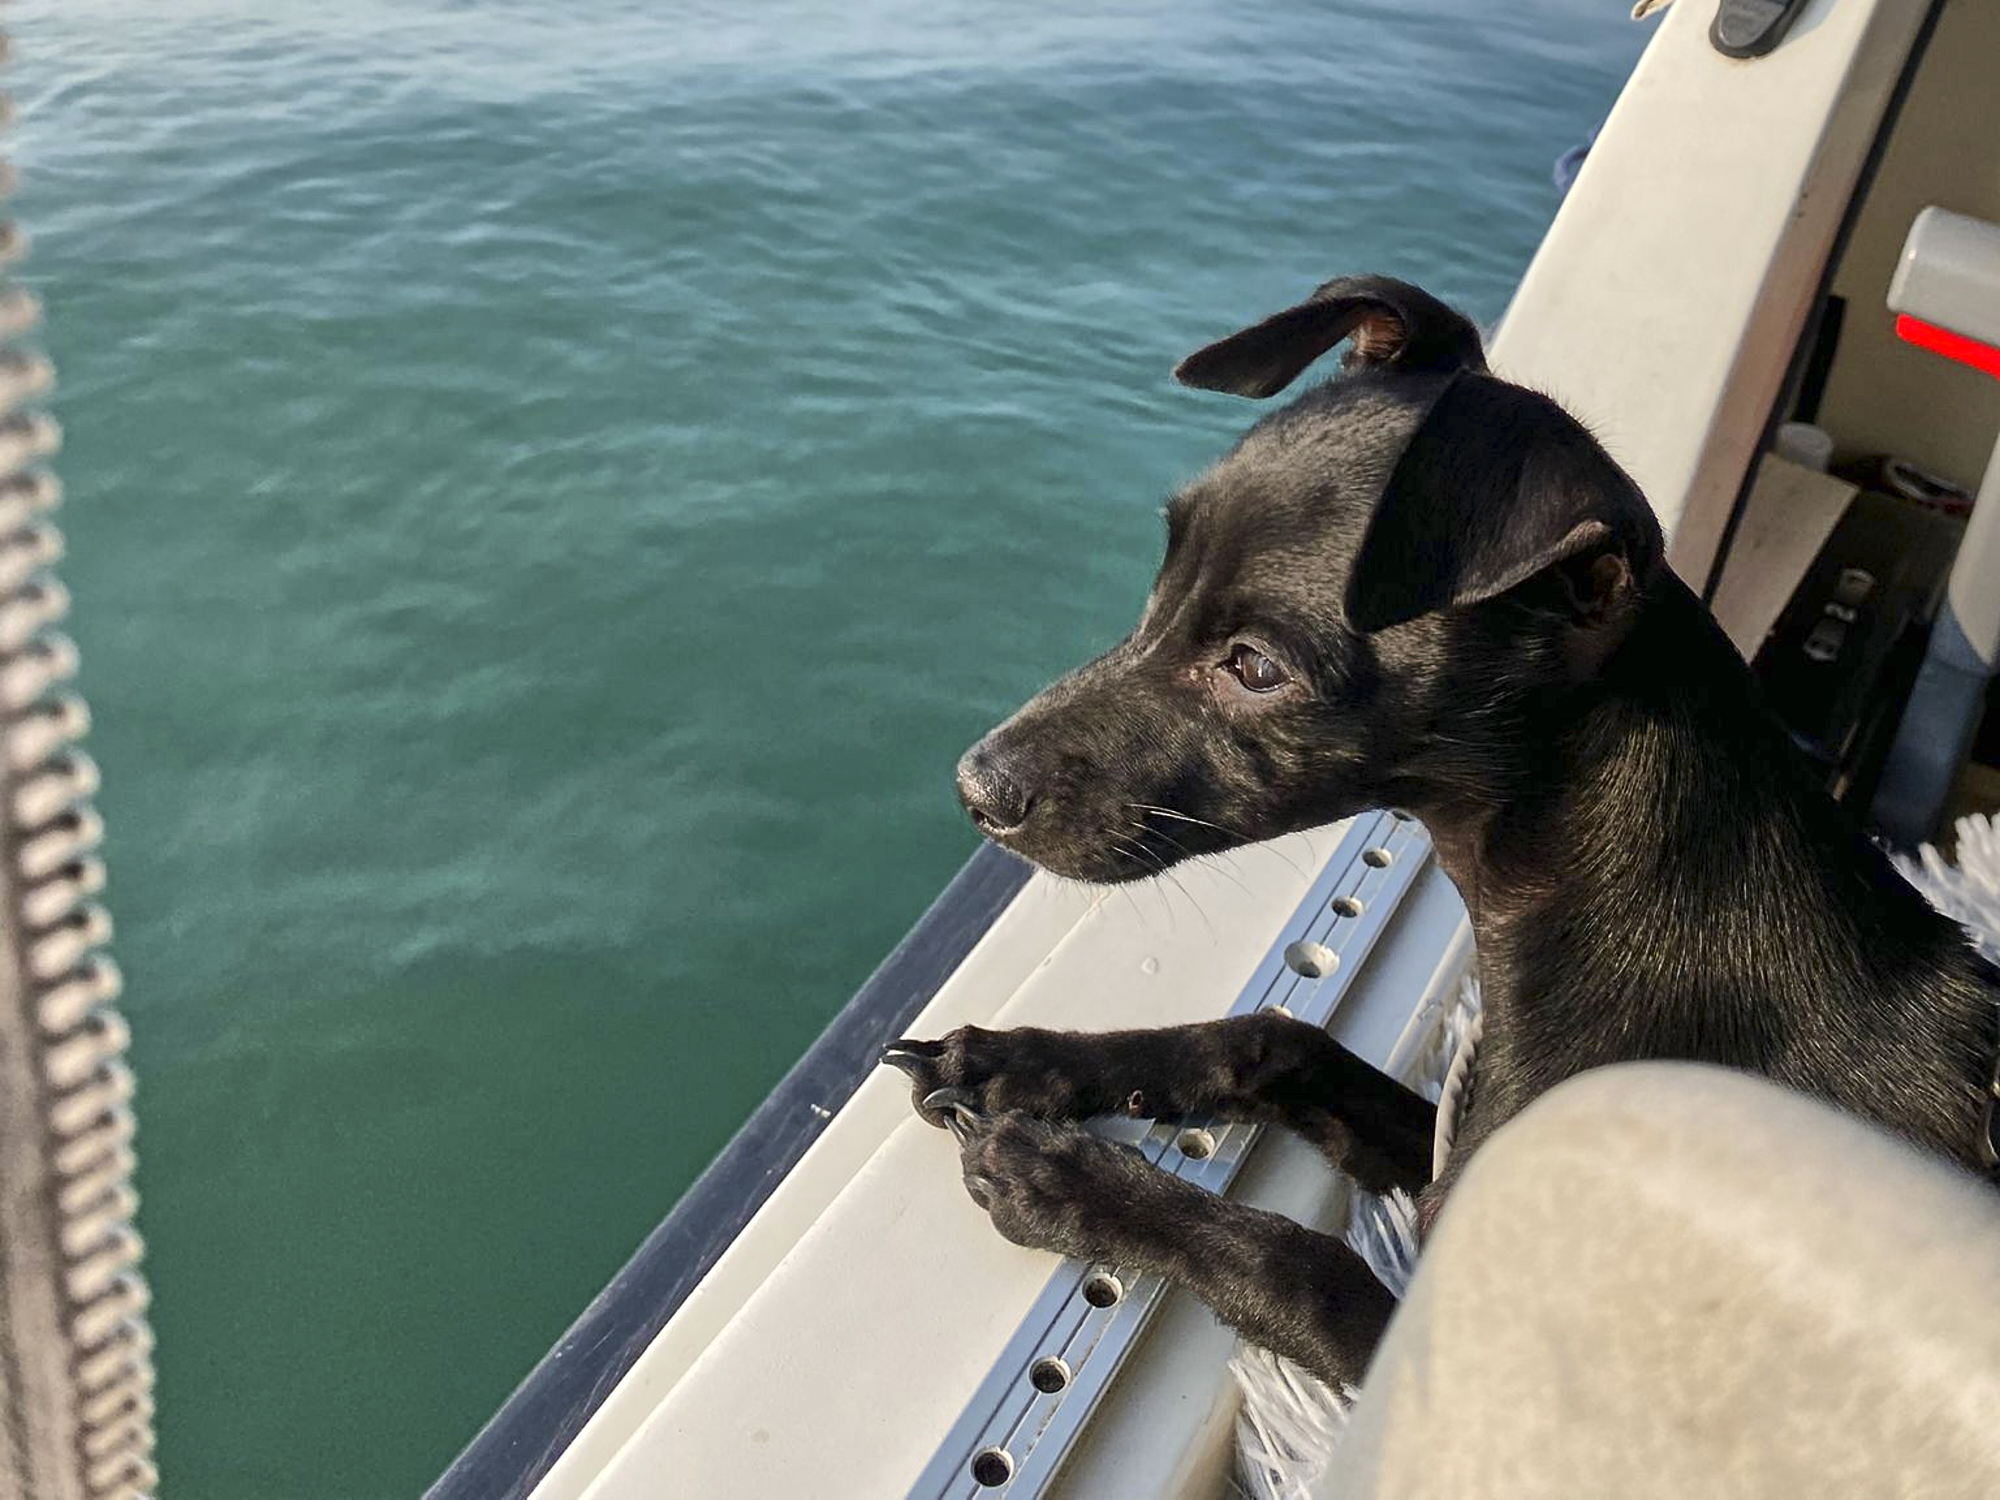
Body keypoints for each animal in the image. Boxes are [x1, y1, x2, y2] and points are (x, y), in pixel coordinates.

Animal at [879, 274, 2000, 1393]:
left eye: (1255, 668)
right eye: (1166, 568)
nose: (974, 787)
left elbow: (1289, 1260)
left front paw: (1072, 1184)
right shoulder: (1442, 1152)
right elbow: (1274, 1037)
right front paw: (1028, 1063)